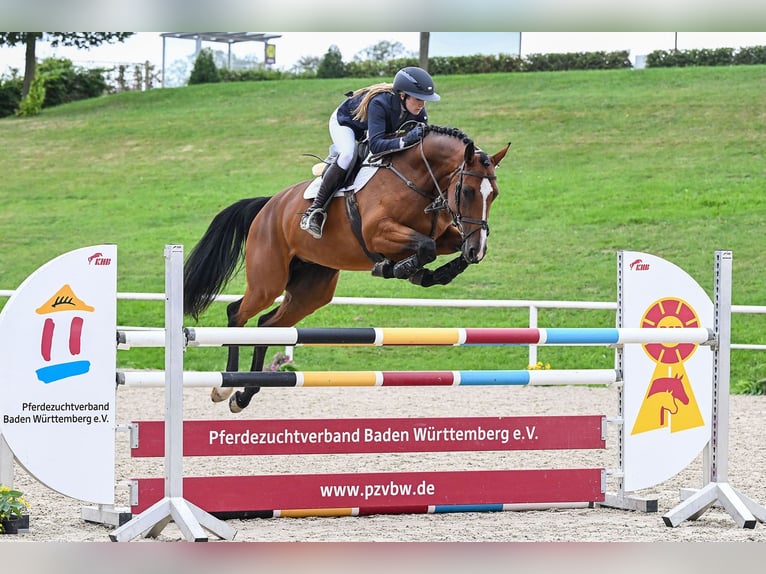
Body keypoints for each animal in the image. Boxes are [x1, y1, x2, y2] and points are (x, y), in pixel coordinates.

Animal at [183, 126, 512, 414]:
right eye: (467, 191)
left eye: (494, 193)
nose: (477, 250)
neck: (419, 179)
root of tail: (268, 207)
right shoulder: (378, 233)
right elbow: (425, 247)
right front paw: (399, 268)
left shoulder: (447, 235)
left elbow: (443, 247)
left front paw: (430, 273)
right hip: (268, 281)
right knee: (237, 314)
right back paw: (225, 387)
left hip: (312, 291)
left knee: (266, 327)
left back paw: (243, 396)